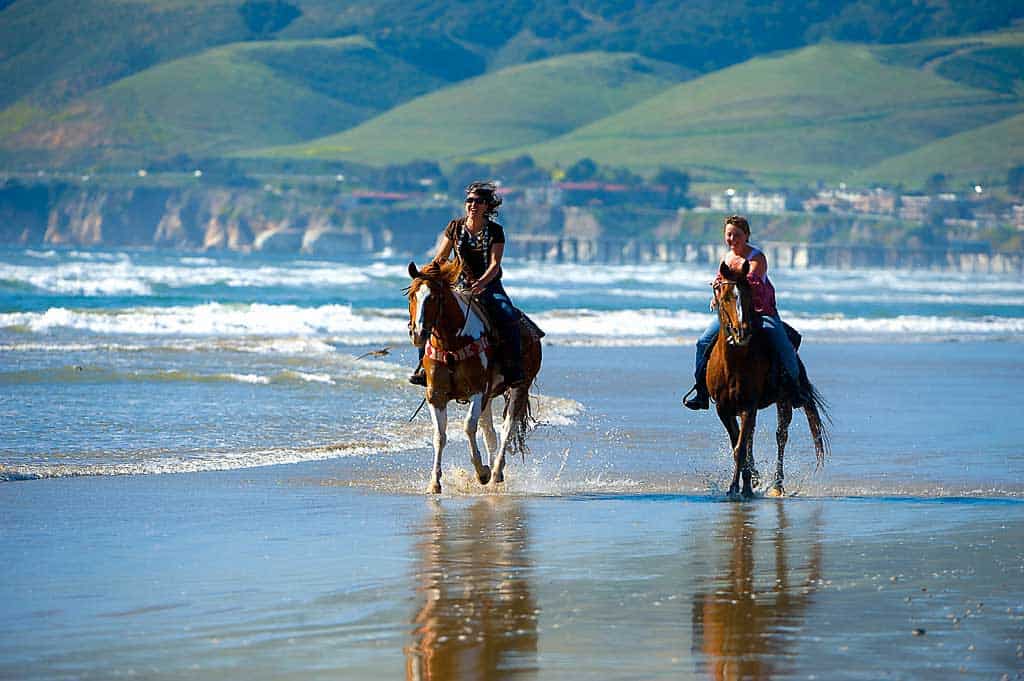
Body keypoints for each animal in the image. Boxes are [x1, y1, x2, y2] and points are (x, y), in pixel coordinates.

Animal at [405, 261, 540, 493]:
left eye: (434, 297)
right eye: (412, 295)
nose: (418, 334)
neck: (452, 343)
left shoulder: (478, 391)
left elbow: (468, 427)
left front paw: (482, 472)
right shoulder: (436, 395)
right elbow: (439, 435)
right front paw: (434, 483)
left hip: (519, 387)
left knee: (507, 428)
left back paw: (495, 473)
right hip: (489, 398)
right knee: (490, 433)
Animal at [708, 260, 827, 499]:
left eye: (748, 296)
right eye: (725, 297)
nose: (742, 332)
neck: (734, 362)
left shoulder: (748, 405)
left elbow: (740, 448)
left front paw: (740, 488)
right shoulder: (724, 409)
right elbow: (739, 444)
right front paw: (741, 484)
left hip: (785, 399)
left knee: (781, 436)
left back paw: (777, 485)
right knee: (751, 437)